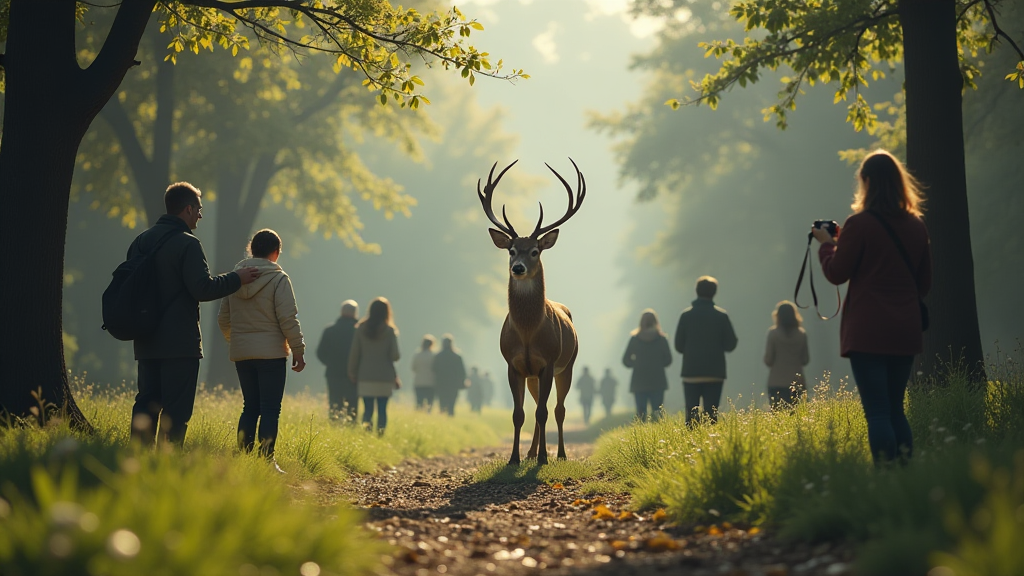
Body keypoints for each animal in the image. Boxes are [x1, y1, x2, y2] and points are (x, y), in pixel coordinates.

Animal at [477, 158, 589, 463]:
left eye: (535, 251)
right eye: (511, 250)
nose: (518, 268)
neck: (527, 333)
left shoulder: (548, 362)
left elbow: (544, 412)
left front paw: (543, 458)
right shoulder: (513, 364)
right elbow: (519, 414)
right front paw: (515, 457)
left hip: (568, 365)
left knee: (558, 410)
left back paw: (558, 454)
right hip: (533, 376)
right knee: (541, 408)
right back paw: (530, 452)